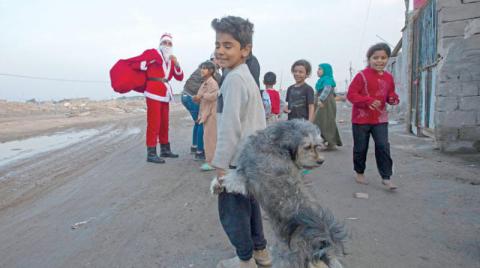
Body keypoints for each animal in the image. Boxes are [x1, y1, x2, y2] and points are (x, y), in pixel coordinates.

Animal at [216, 120, 346, 268]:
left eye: (317, 145)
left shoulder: (243, 177)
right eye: (307, 147)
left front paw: (217, 184)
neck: (275, 143)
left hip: (288, 257)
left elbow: (230, 177)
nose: (321, 161)